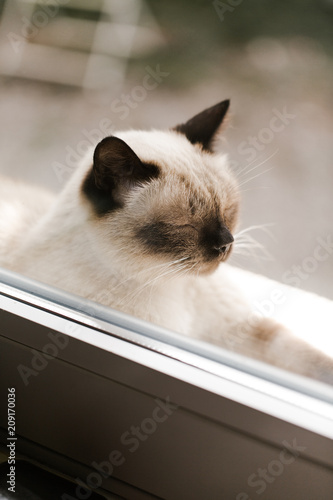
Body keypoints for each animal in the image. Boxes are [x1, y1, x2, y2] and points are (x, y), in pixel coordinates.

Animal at [0, 100, 330, 382]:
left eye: (228, 211)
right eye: (184, 225)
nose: (226, 244)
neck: (173, 285)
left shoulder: (239, 328)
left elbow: (311, 360)